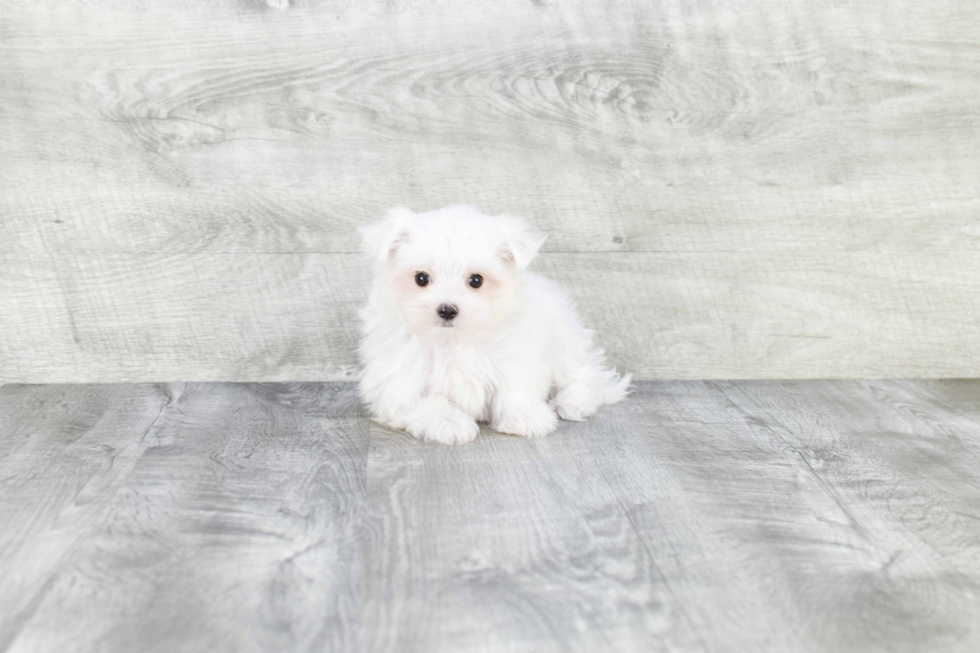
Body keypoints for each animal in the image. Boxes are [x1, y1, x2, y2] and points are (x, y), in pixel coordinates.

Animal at [356, 204, 632, 444]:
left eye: (476, 280)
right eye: (421, 278)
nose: (447, 310)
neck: (454, 340)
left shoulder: (515, 355)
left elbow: (514, 388)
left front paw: (524, 416)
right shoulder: (397, 380)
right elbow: (425, 401)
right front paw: (449, 422)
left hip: (565, 343)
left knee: (585, 375)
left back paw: (572, 401)